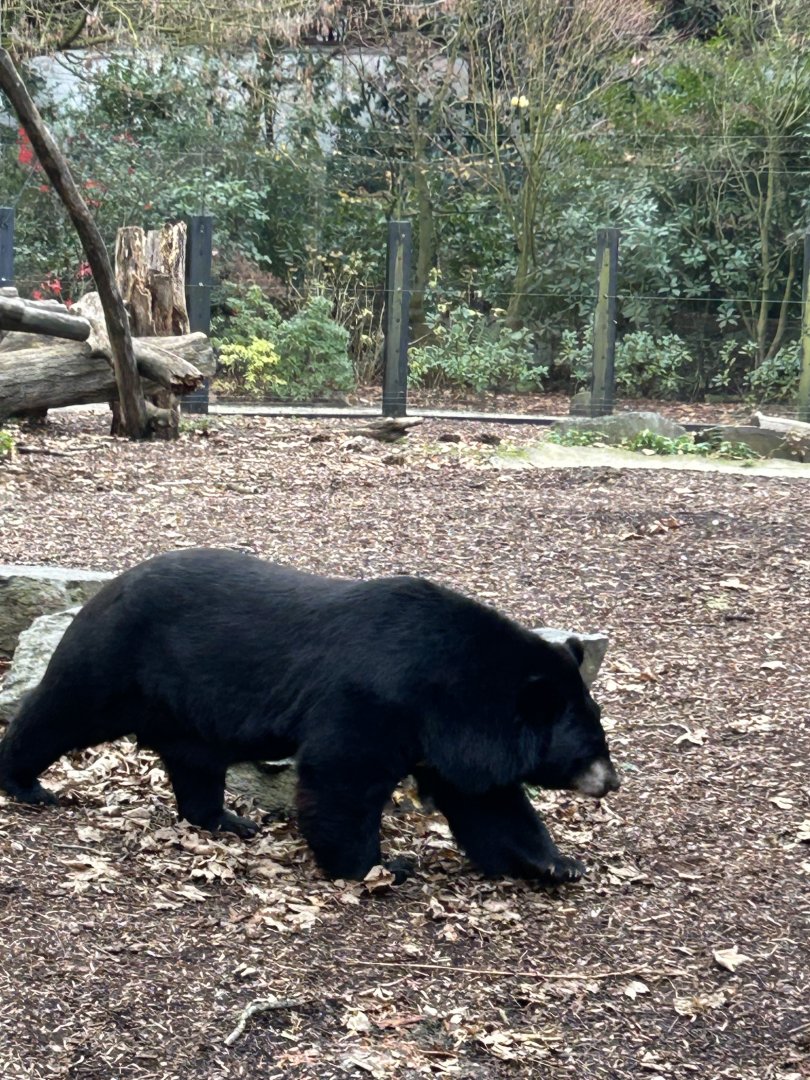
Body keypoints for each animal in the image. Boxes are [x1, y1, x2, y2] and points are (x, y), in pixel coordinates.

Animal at [0, 548, 620, 884]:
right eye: (589, 747)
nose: (611, 783)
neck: (451, 685)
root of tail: (109, 585)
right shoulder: (376, 695)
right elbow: (342, 773)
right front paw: (381, 866)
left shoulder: (449, 734)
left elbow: (486, 801)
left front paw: (557, 864)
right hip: (119, 658)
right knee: (61, 710)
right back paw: (25, 783)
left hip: (185, 706)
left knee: (195, 761)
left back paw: (228, 820)